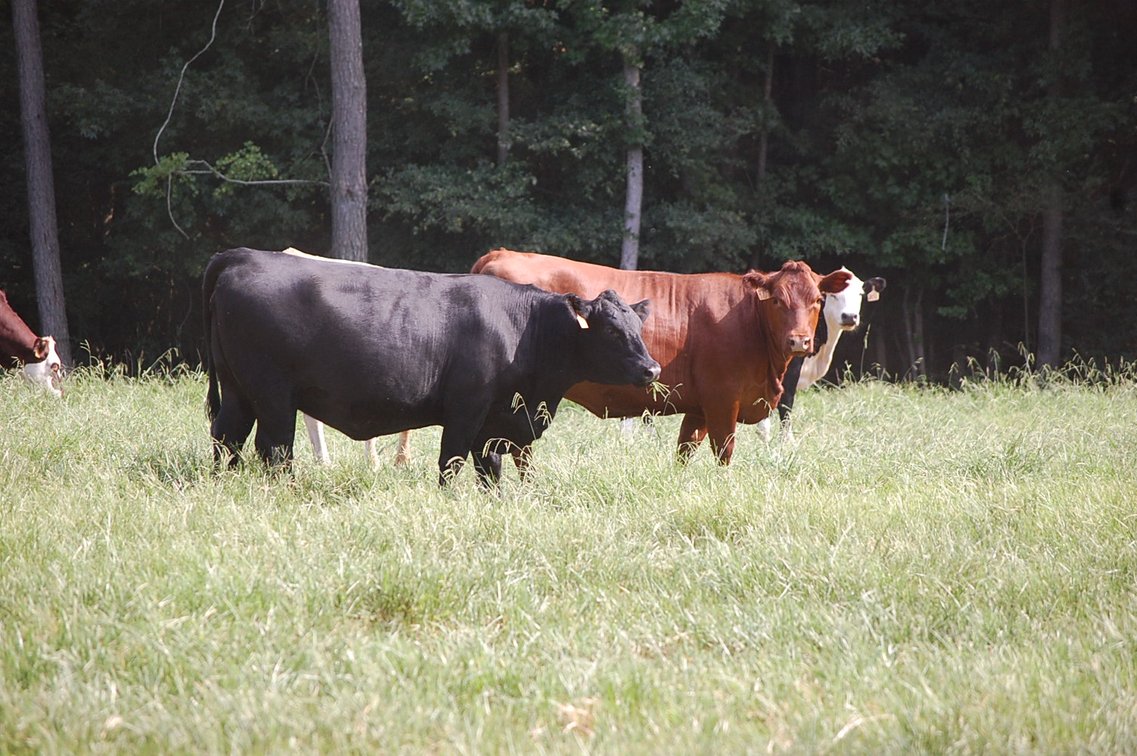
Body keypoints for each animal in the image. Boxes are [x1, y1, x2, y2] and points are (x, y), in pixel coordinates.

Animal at [202, 247, 660, 487]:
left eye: (638, 326)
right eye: (612, 331)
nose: (652, 369)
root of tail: (244, 255)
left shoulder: (493, 424)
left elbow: (489, 470)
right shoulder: (466, 411)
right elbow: (451, 461)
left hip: (239, 390)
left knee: (227, 437)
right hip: (273, 394)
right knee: (275, 448)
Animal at [461, 249, 853, 467]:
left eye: (817, 300)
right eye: (778, 301)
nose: (799, 340)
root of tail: (501, 253)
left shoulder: (699, 408)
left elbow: (684, 453)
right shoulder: (723, 401)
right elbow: (723, 454)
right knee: (517, 447)